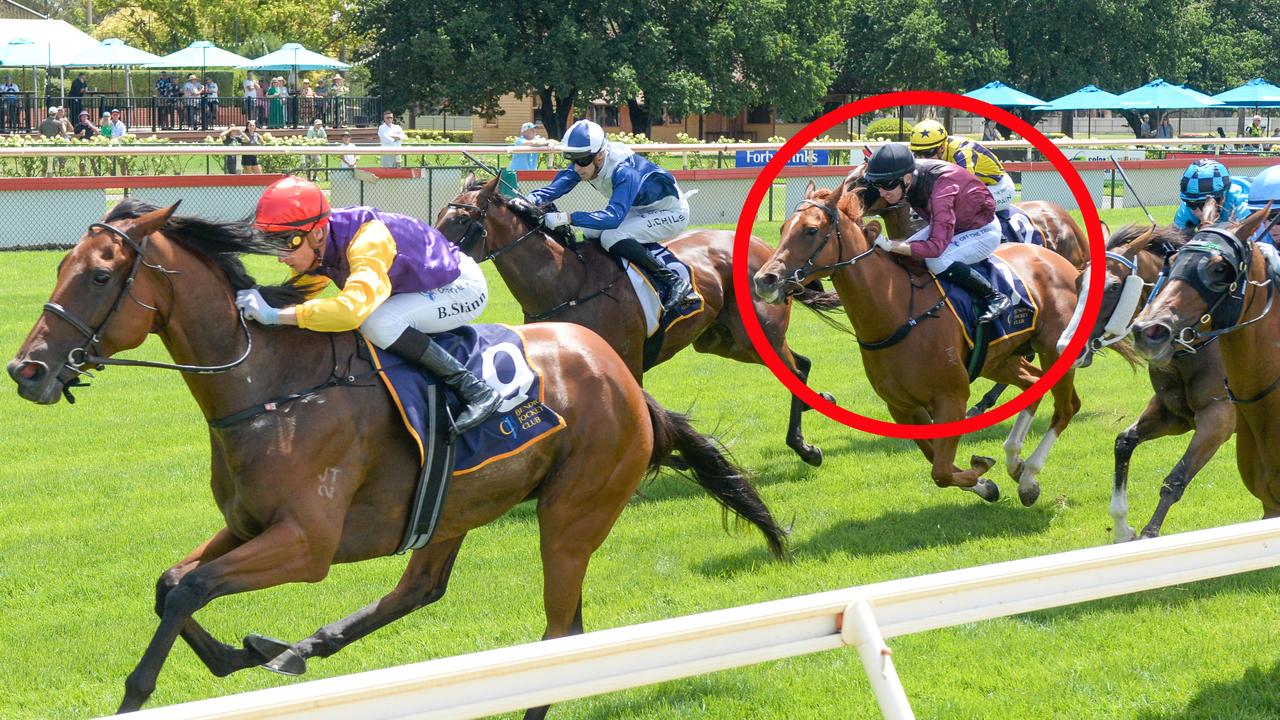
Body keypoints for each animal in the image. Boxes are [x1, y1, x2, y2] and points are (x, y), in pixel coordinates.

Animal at [7, 198, 788, 712]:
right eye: (62, 267)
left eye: (100, 276)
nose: (27, 370)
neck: (274, 389)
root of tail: (628, 385)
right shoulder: (249, 525)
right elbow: (172, 582)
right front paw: (241, 653)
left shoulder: (307, 544)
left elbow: (190, 589)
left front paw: (145, 690)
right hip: (454, 508)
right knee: (420, 589)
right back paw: (295, 649)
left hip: (572, 513)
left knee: (562, 631)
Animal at [435, 174, 844, 466]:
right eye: (439, 216)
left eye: (461, 218)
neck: (568, 282)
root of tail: (769, 254)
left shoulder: (627, 361)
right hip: (724, 341)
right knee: (802, 363)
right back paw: (818, 402)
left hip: (757, 333)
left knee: (795, 370)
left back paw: (804, 446)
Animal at [747, 180, 1080, 504]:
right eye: (783, 228)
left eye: (811, 230)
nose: (765, 280)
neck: (896, 312)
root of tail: (1063, 263)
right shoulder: (902, 406)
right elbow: (936, 460)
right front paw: (985, 483)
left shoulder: (952, 398)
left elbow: (941, 471)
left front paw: (983, 471)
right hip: (997, 360)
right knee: (1033, 383)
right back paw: (1016, 462)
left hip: (1053, 349)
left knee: (1067, 407)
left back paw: (1028, 477)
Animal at [1070, 224, 1239, 538]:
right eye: (1078, 281)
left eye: (1113, 287)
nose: (1068, 346)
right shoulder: (1175, 414)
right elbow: (1124, 442)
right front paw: (1122, 526)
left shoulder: (1219, 417)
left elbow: (1176, 479)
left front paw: (1149, 534)